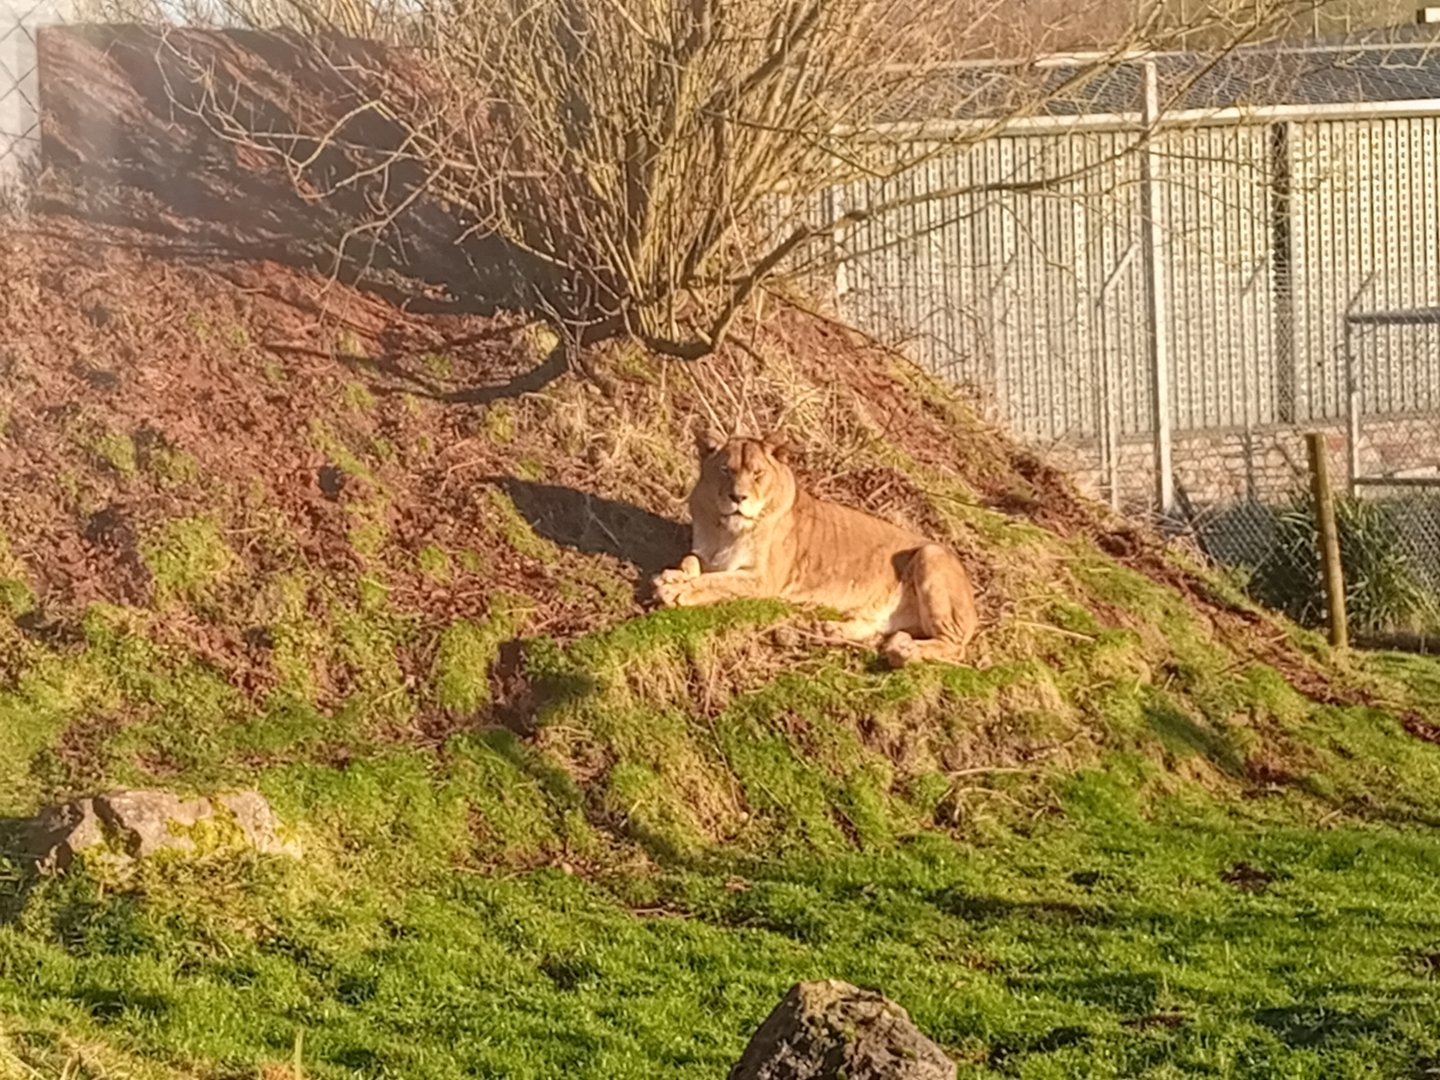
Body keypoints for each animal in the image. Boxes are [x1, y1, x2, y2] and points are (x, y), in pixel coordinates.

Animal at [652, 428, 979, 667]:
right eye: (725, 470)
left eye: (757, 474)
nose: (737, 497)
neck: (724, 529)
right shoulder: (707, 552)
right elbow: (691, 561)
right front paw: (673, 576)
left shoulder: (762, 581)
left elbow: (717, 583)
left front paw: (676, 591)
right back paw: (835, 632)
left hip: (932, 555)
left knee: (954, 647)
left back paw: (905, 651)